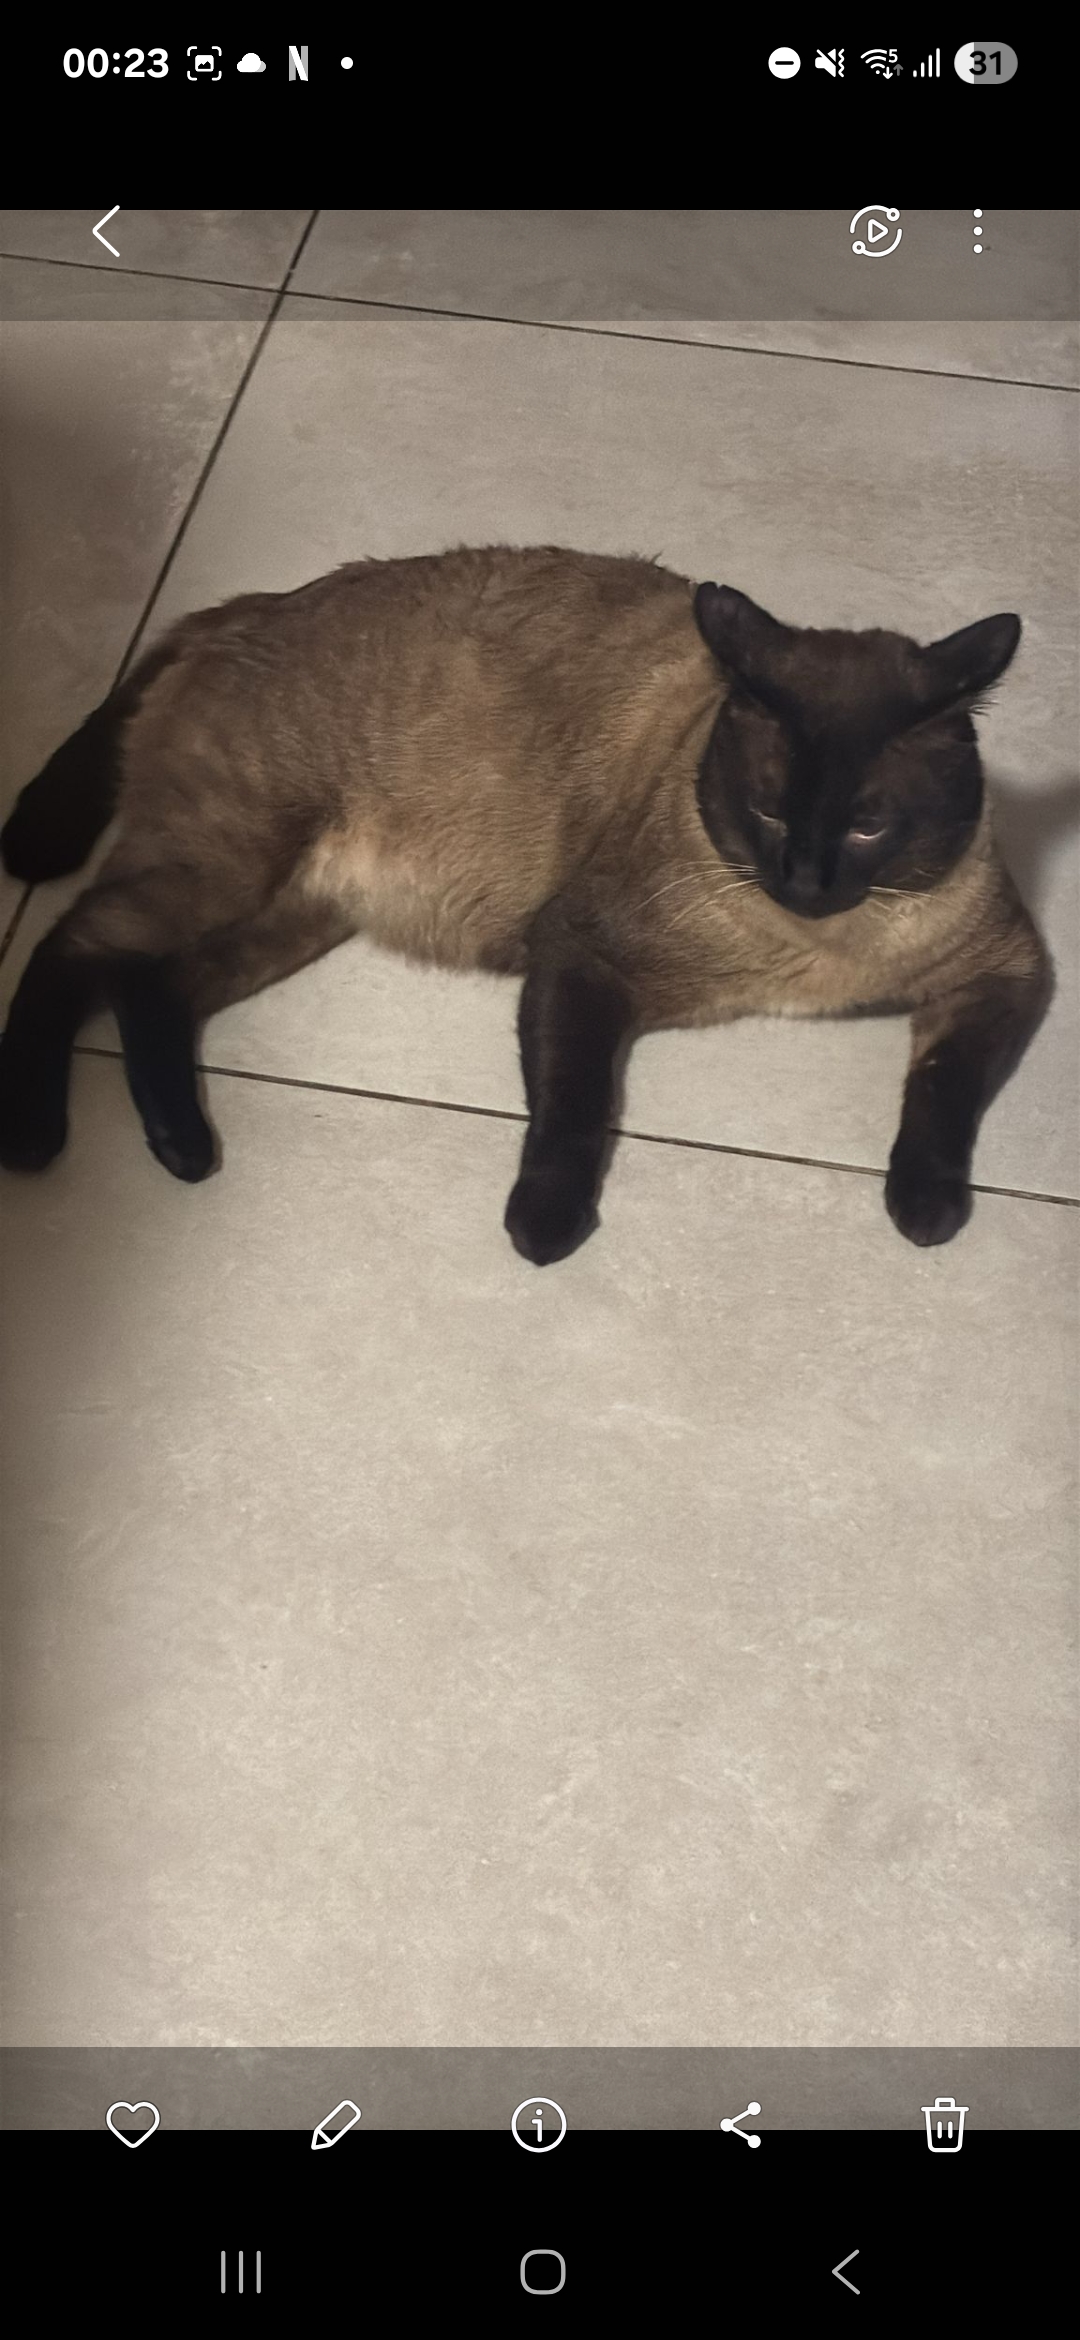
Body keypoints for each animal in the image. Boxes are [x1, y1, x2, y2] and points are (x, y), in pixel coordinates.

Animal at [0, 546, 1051, 1263]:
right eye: (765, 810)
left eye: (868, 828)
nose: (805, 877)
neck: (815, 947)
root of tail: (241, 605)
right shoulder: (578, 957)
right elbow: (572, 1108)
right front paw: (543, 1230)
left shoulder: (1004, 979)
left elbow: (941, 1094)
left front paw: (925, 1211)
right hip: (224, 868)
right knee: (68, 945)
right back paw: (35, 1139)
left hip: (287, 915)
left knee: (150, 988)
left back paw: (183, 1148)